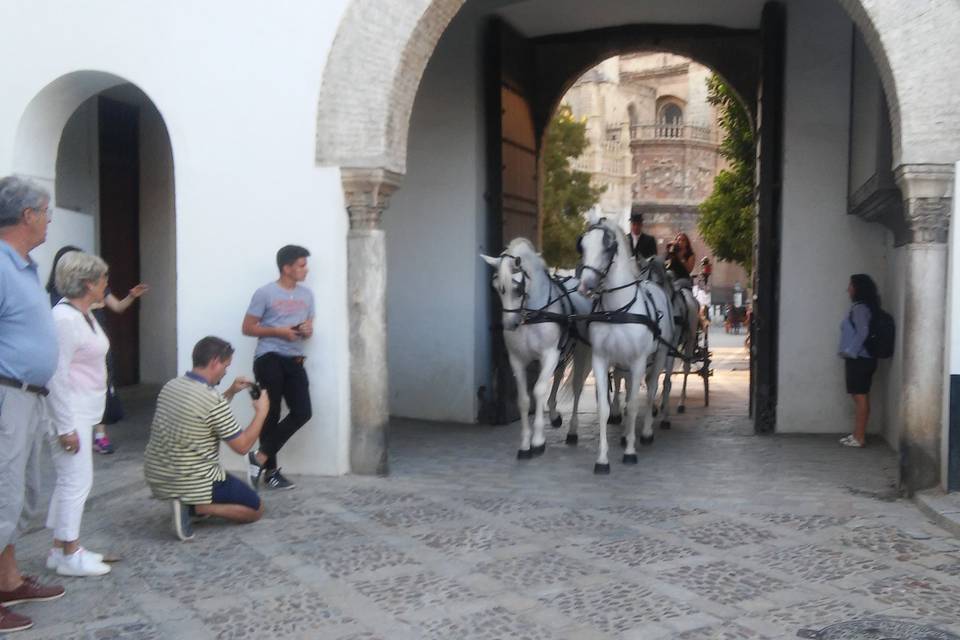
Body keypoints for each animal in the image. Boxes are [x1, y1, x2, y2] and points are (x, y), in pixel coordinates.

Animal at [480, 238, 592, 458]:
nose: (510, 325)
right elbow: (524, 399)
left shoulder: (549, 354)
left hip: (580, 351)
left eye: (517, 288)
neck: (532, 316)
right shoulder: (517, 359)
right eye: (495, 288)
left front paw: (538, 441)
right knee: (558, 376)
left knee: (576, 386)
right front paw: (525, 444)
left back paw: (572, 431)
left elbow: (539, 390)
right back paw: (555, 415)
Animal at [576, 215, 676, 476]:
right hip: (624, 365)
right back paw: (623, 434)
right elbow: (604, 407)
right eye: (582, 246)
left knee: (653, 390)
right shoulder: (601, 360)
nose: (585, 286)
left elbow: (633, 406)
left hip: (660, 356)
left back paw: (646, 432)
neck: (617, 310)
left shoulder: (639, 360)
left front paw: (631, 452)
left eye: (608, 247)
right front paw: (602, 459)